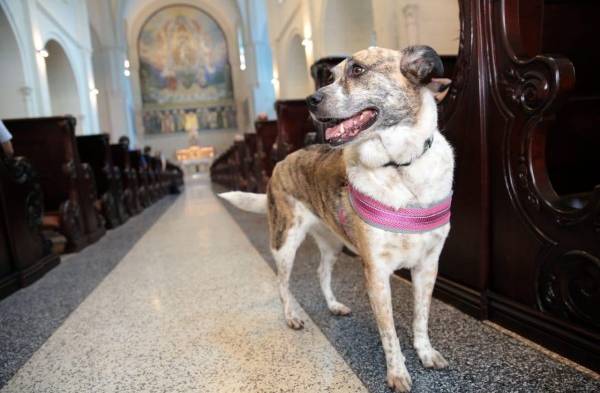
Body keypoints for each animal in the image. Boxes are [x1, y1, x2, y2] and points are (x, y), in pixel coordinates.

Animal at [223, 46, 452, 392]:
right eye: (329, 77)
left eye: (357, 70)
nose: (310, 100)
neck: (399, 167)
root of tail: (283, 160)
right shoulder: (376, 273)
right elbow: (389, 334)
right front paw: (397, 372)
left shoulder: (427, 267)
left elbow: (420, 317)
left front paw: (425, 353)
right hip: (285, 241)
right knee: (282, 283)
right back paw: (291, 316)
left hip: (331, 244)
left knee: (321, 272)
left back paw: (333, 305)